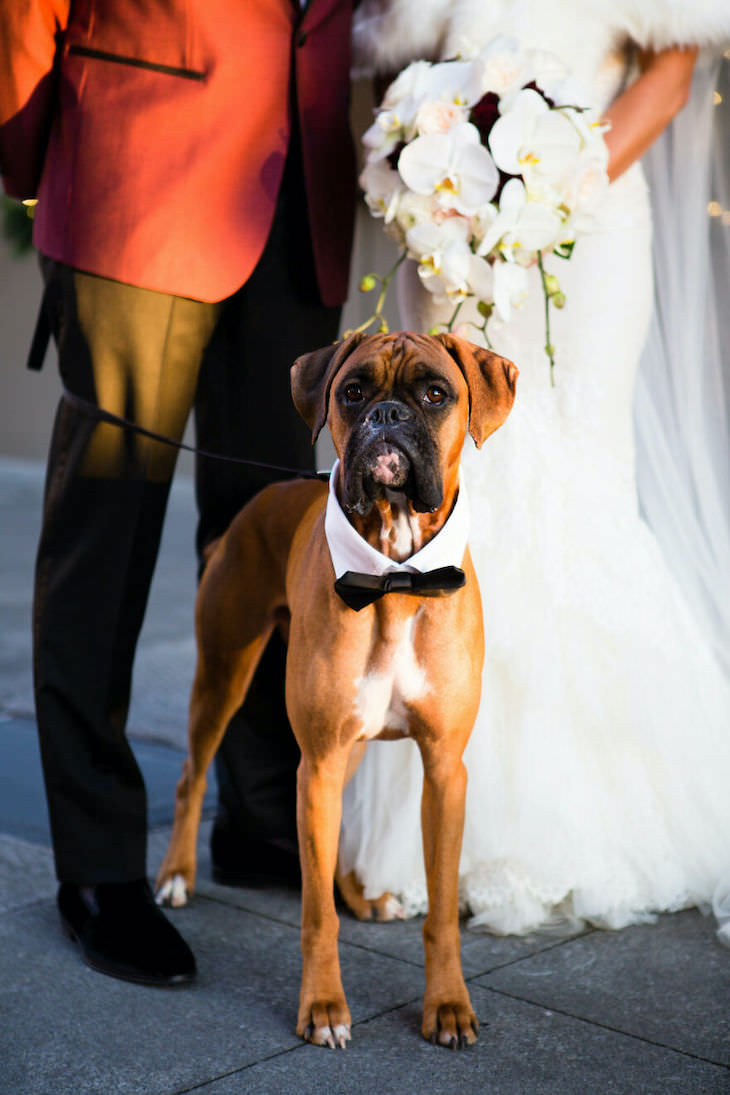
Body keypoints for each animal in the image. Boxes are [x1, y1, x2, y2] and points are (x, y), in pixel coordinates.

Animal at [156, 328, 516, 1046]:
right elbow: (315, 912)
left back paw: (362, 894)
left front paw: (448, 1004)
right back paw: (177, 875)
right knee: (191, 775)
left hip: (340, 746)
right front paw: (322, 1006)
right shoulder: (316, 760)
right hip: (226, 675)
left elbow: (441, 912)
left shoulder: (443, 768)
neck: (397, 574)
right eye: (352, 392)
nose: (387, 415)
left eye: (436, 393)